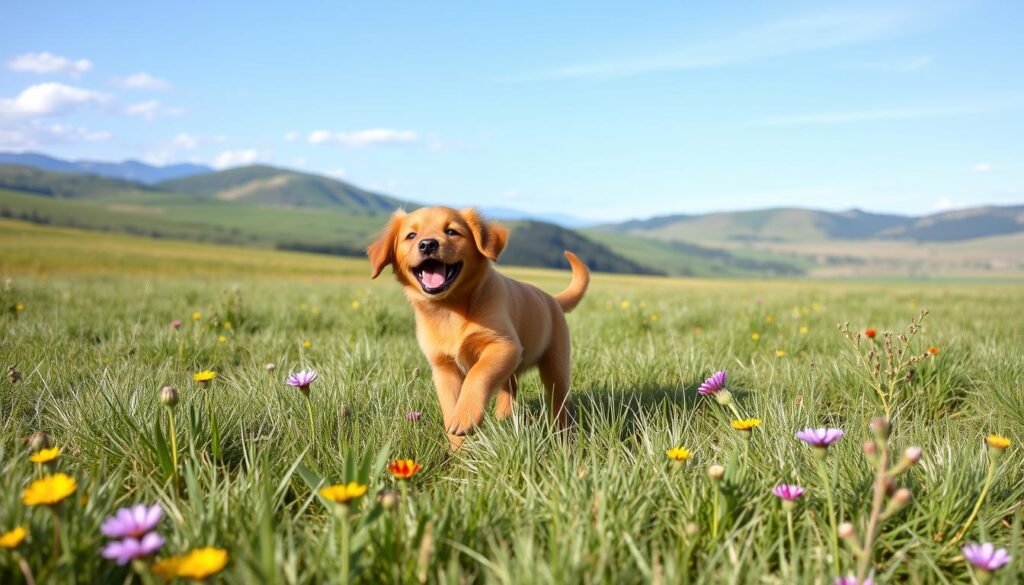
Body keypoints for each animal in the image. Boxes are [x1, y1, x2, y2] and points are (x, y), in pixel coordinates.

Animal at [370, 205, 593, 448]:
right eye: (411, 235)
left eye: (451, 232)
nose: (428, 244)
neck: (450, 309)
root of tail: (552, 299)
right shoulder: (443, 366)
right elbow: (450, 403)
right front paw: (458, 447)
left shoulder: (504, 345)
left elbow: (478, 373)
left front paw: (466, 417)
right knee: (510, 386)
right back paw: (504, 416)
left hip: (556, 363)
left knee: (559, 399)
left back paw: (563, 435)